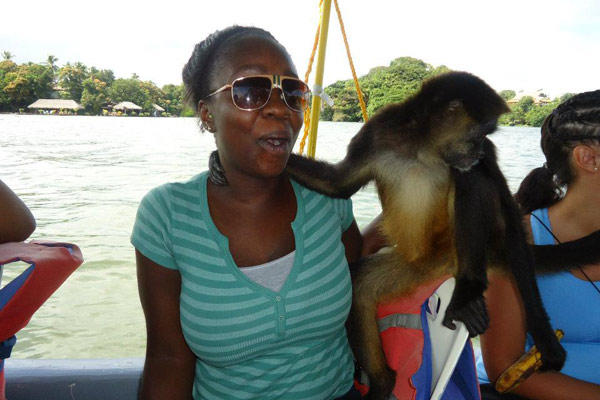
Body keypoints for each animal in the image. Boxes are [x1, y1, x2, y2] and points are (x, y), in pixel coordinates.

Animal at [286, 72, 568, 400]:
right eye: (480, 132)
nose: (479, 151)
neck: (422, 149)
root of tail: (437, 261)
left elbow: (510, 218)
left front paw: (544, 335)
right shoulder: (376, 133)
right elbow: (337, 183)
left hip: (451, 250)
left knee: (471, 178)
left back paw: (469, 289)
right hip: (412, 266)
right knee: (361, 285)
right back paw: (384, 382)